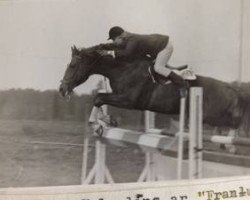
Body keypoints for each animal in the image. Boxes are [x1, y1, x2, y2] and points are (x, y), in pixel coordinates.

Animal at [59, 45, 250, 137]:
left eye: (73, 65)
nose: (62, 89)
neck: (122, 69)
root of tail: (234, 90)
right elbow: (100, 98)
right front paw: (108, 120)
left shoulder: (129, 100)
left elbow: (99, 97)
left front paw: (96, 124)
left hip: (213, 116)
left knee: (234, 123)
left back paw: (230, 142)